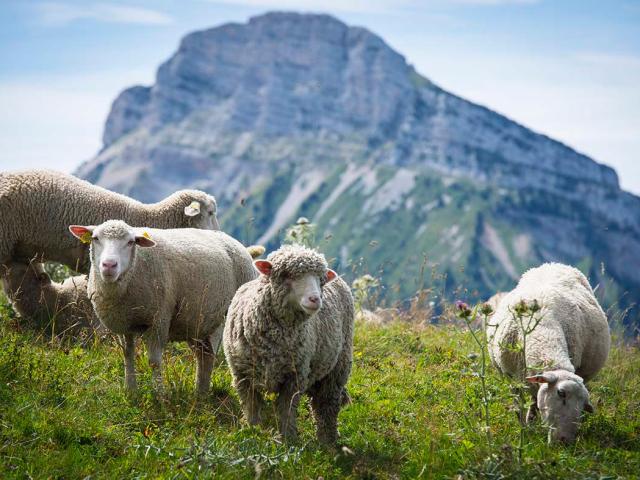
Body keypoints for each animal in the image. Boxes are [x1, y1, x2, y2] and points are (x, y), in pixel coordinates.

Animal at [69, 219, 256, 396]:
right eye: (95, 238)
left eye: (130, 242)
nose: (109, 265)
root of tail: (232, 240)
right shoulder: (124, 323)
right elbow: (127, 355)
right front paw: (131, 390)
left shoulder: (159, 319)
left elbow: (153, 361)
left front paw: (159, 394)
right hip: (196, 322)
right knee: (204, 356)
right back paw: (200, 392)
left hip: (223, 319)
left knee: (211, 354)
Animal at [224, 246, 356, 444]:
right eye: (287, 275)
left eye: (321, 280)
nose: (315, 299)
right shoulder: (242, 376)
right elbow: (251, 407)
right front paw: (253, 431)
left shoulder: (294, 377)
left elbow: (286, 410)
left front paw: (288, 439)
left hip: (337, 366)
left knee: (326, 405)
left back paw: (328, 441)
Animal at [488, 262, 612, 442]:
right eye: (561, 393)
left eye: (583, 405)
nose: (566, 441)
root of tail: (556, 264)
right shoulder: (511, 377)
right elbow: (519, 406)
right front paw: (523, 429)